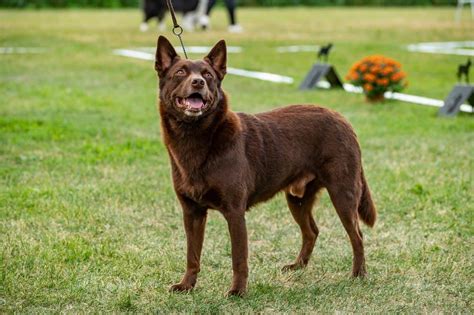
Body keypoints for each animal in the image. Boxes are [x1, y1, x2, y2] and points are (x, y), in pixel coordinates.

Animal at [156, 35, 378, 298]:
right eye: (180, 72)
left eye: (208, 75)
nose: (198, 82)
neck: (196, 138)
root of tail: (342, 119)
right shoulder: (192, 212)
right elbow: (192, 255)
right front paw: (186, 286)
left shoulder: (234, 212)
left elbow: (239, 258)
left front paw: (238, 291)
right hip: (297, 199)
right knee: (311, 231)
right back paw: (297, 266)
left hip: (343, 193)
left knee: (357, 235)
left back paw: (358, 274)